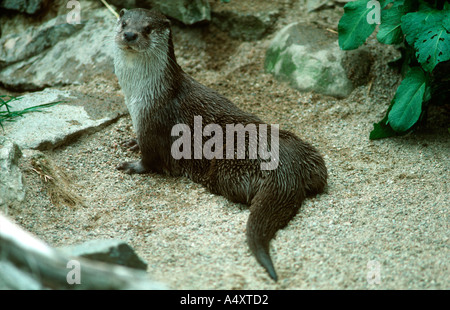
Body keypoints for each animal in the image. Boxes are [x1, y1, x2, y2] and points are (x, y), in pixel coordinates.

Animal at [114, 9, 328, 280]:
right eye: (124, 23)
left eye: (148, 28)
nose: (130, 35)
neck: (139, 96)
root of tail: (286, 166)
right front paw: (132, 142)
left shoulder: (155, 126)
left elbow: (150, 160)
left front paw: (133, 166)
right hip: (310, 154)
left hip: (230, 164)